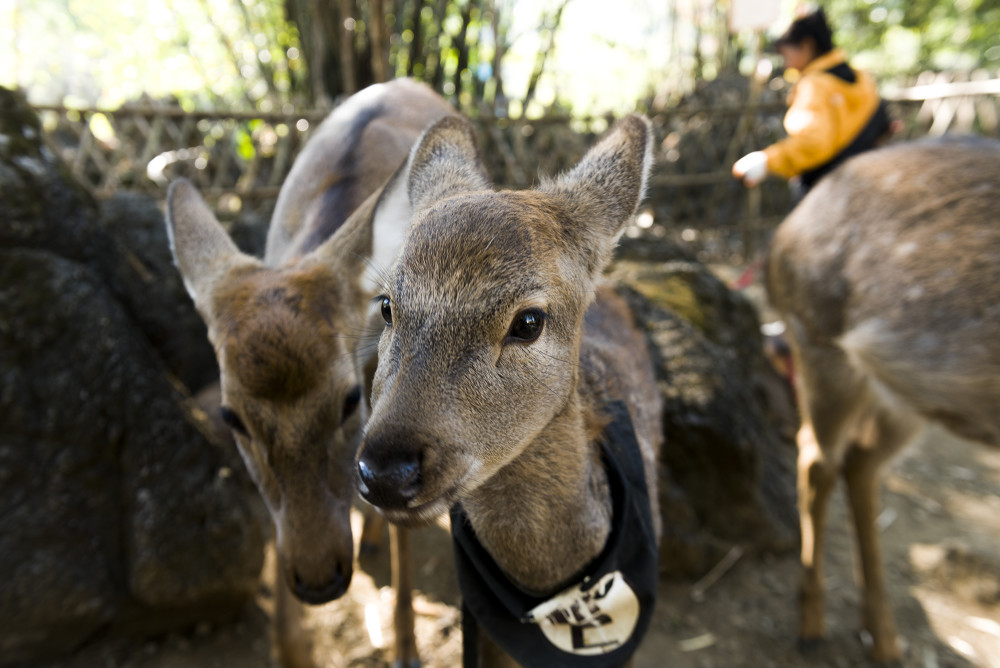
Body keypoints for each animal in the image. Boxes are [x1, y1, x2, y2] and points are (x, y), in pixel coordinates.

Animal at [764, 136, 1000, 664]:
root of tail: (783, 231)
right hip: (822, 342)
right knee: (817, 458)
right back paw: (813, 625)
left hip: (907, 394)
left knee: (859, 461)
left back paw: (884, 639)